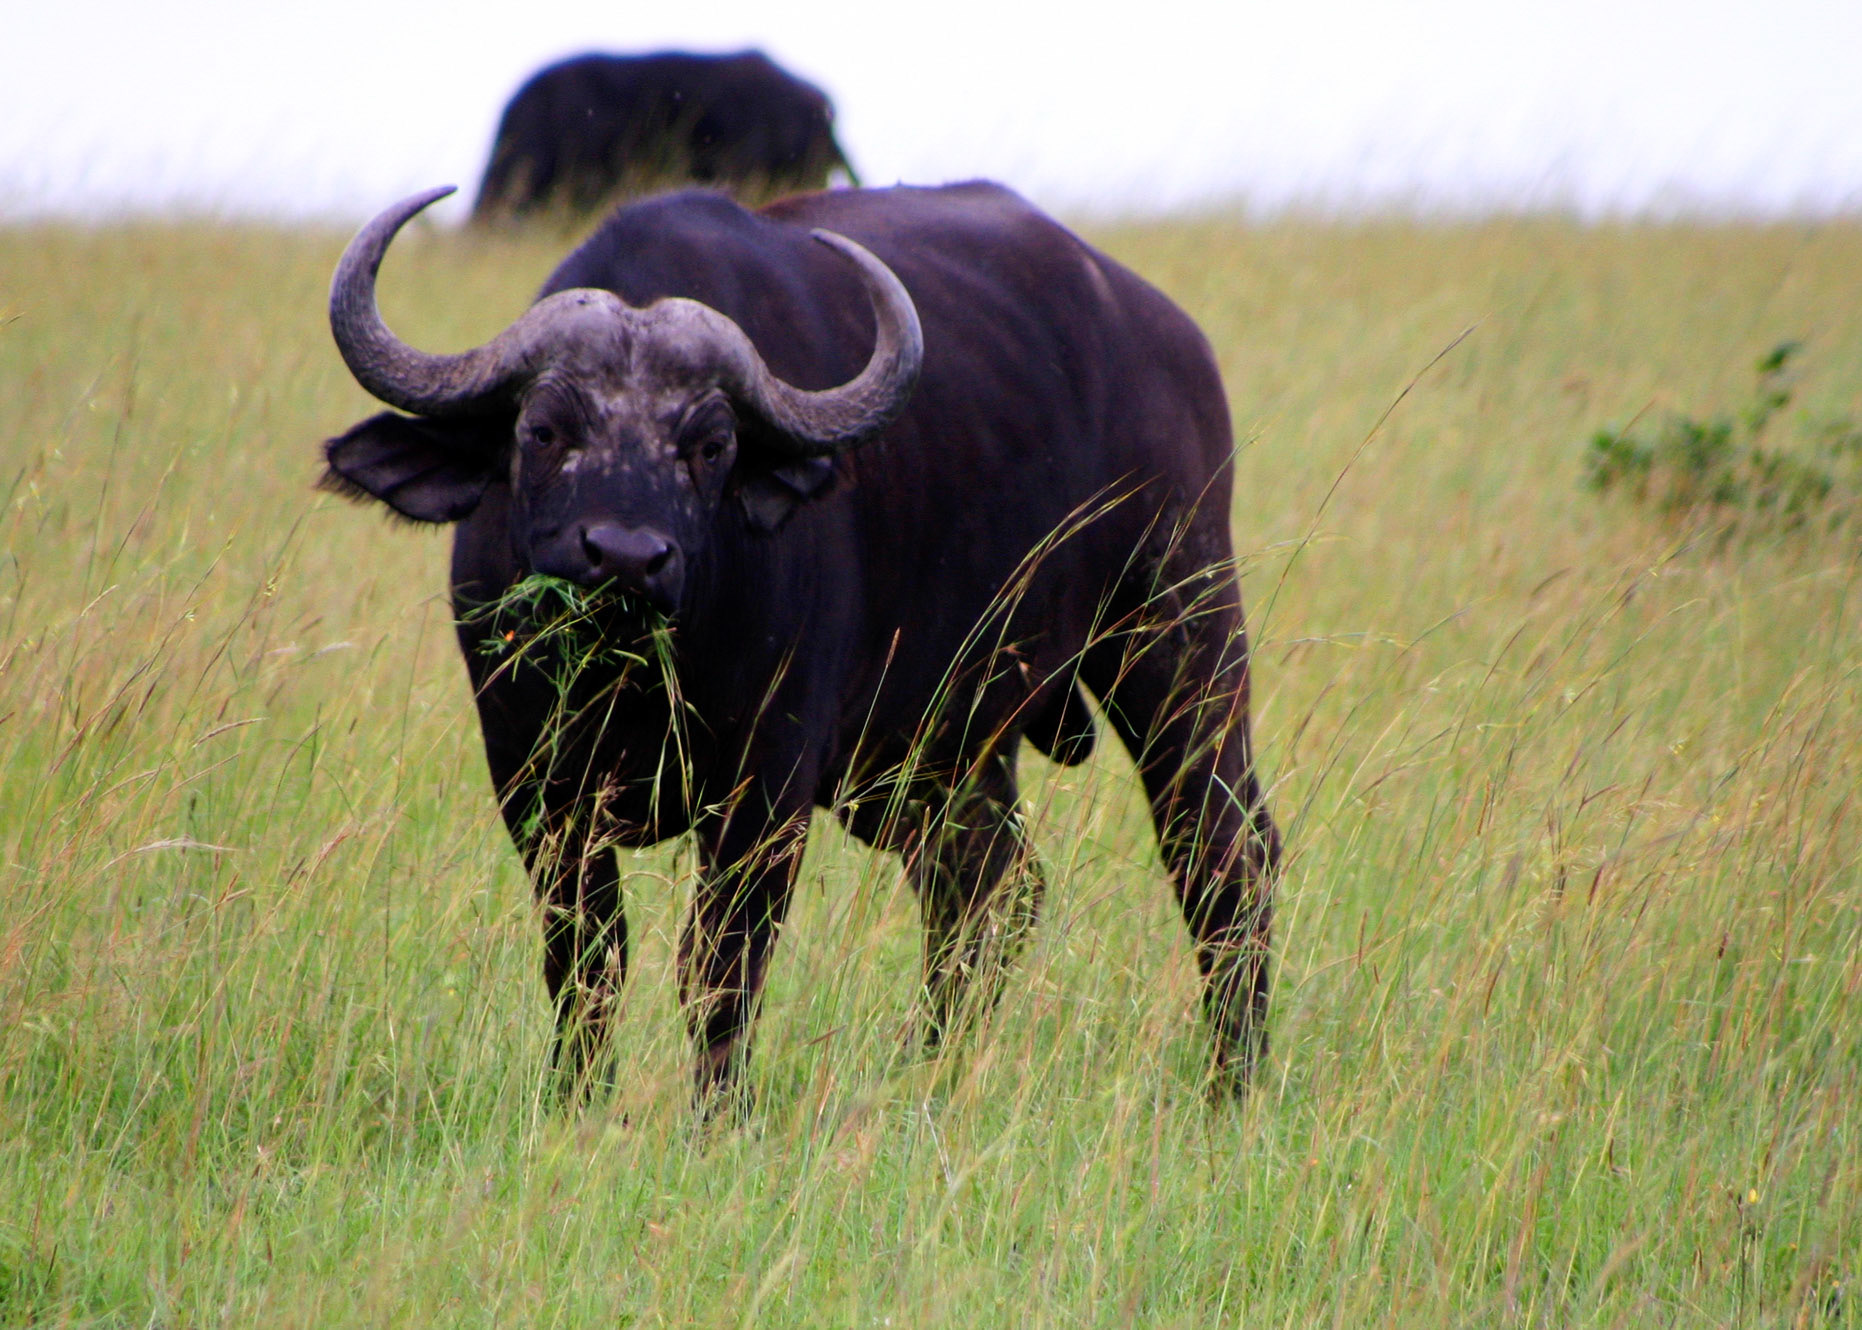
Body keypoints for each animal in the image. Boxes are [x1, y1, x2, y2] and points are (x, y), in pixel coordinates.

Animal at [321, 181, 1281, 1110]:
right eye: (543, 430)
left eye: (711, 445)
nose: (626, 556)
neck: (636, 679)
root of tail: (1168, 340)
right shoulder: (535, 783)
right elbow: (587, 960)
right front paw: (573, 1100)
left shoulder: (767, 786)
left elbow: (719, 963)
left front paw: (719, 1114)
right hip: (932, 756)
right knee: (988, 889)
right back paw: (927, 1073)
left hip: (1180, 636)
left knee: (1225, 855)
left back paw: (1233, 1082)